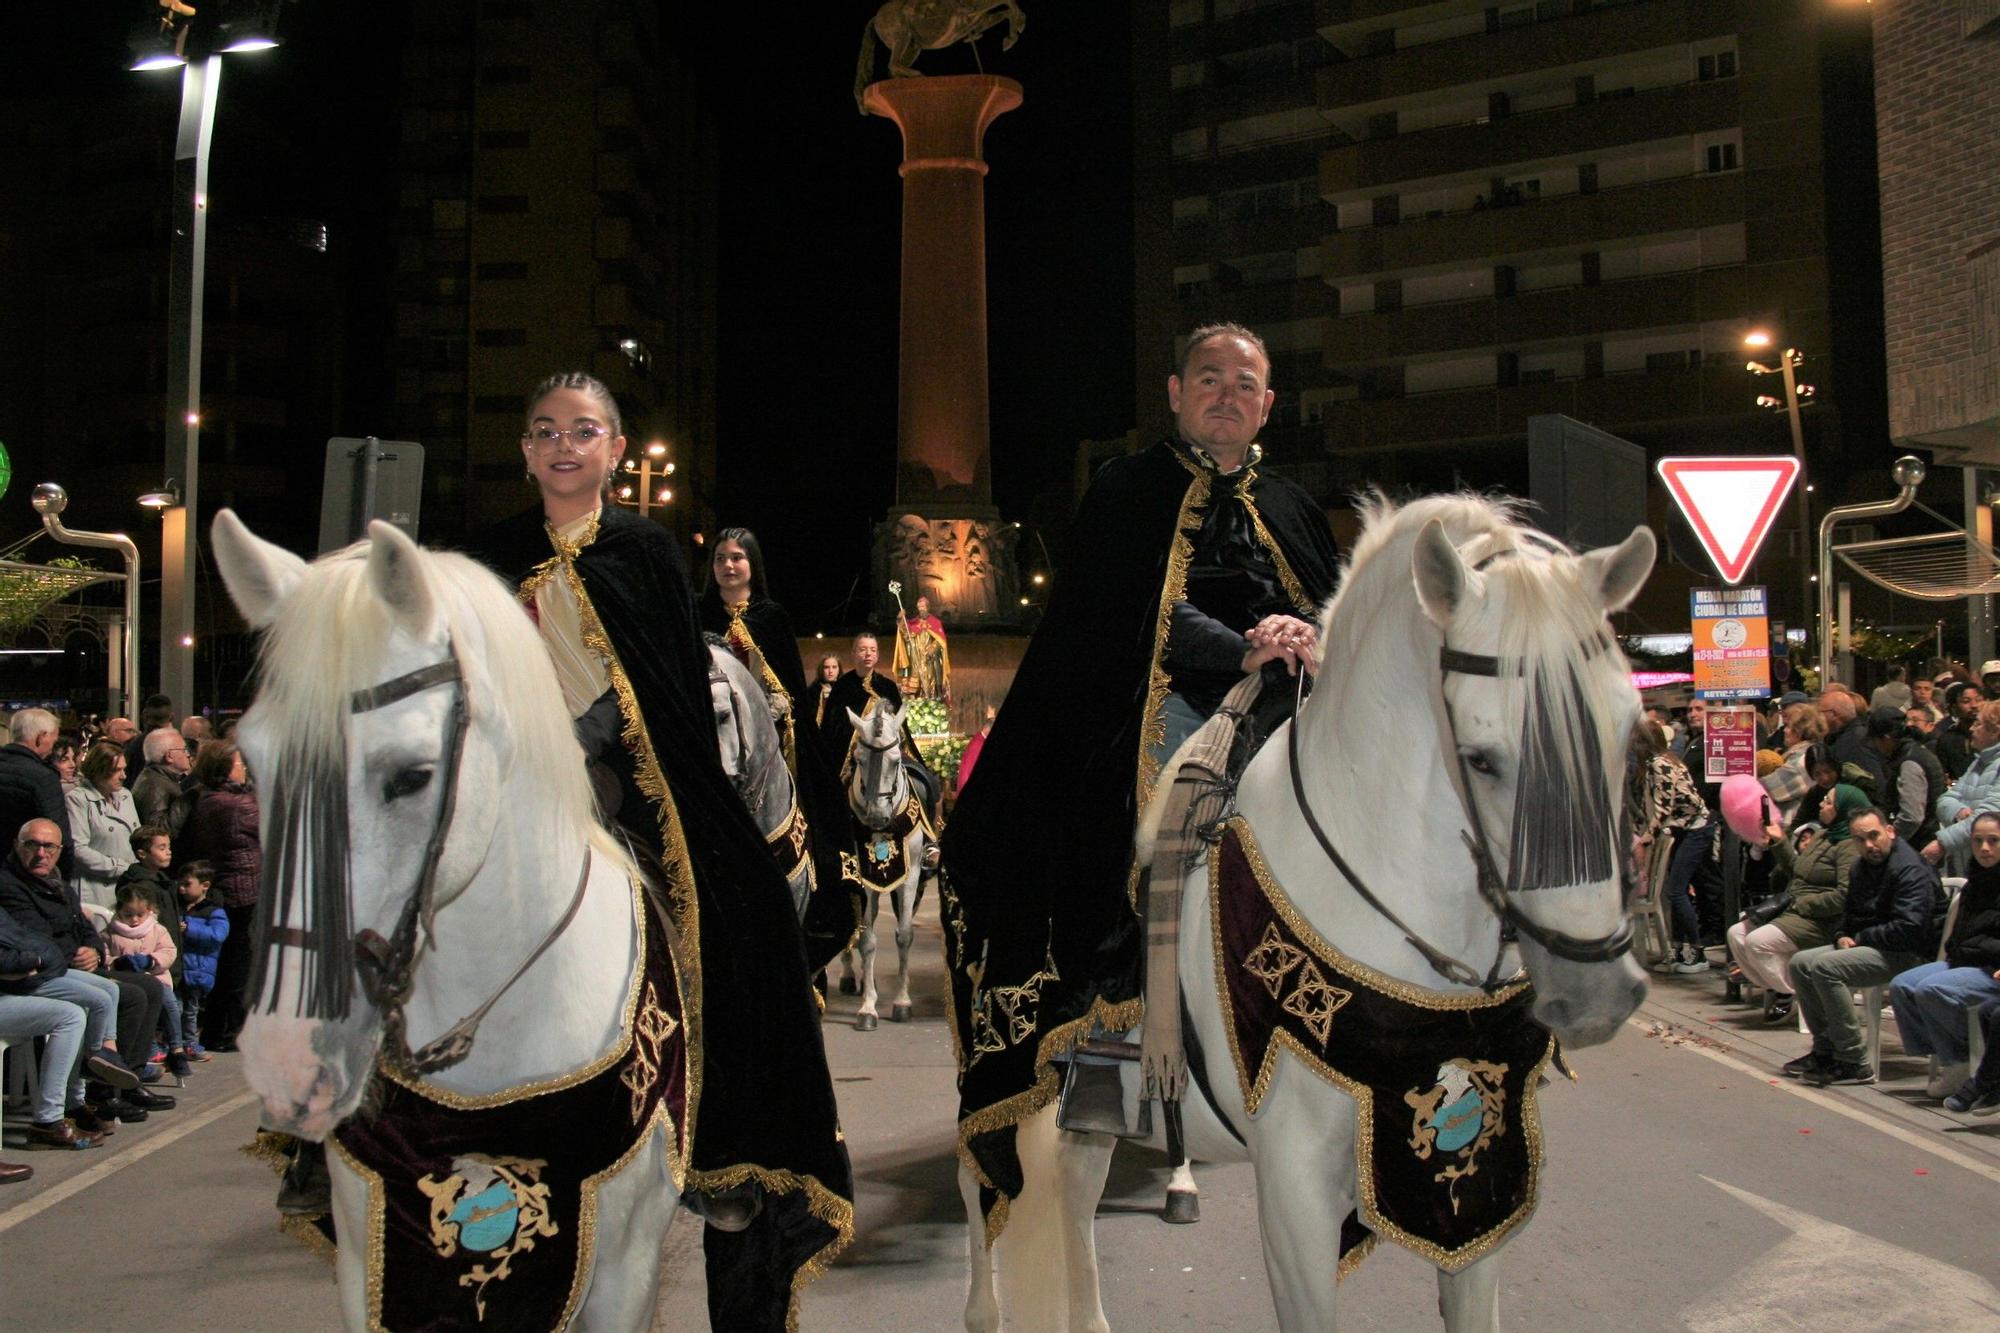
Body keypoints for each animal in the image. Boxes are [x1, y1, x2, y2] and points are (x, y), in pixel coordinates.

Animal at [844, 704, 936, 1024]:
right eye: (859, 759)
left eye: (895, 761)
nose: (877, 816)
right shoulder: (864, 879)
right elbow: (867, 939)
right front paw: (868, 1007)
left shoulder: (911, 876)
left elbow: (904, 935)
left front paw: (902, 1001)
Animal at [964, 496, 1656, 1328]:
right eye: (1482, 758)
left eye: (1631, 732)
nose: (1598, 993)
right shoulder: (1295, 1192)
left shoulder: (1483, 1178)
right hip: (997, 1066)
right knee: (984, 1190)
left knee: (1071, 1185)